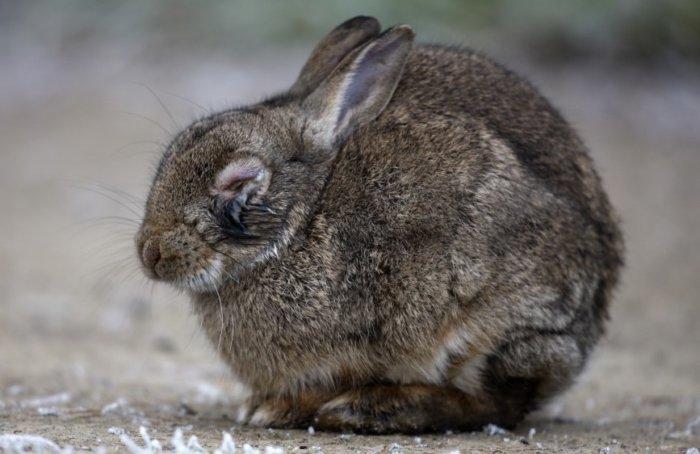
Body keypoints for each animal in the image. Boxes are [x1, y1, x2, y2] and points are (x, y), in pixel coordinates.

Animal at [135, 15, 624, 434]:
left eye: (238, 183)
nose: (150, 253)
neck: (303, 217)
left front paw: (274, 409)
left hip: (494, 322)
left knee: (495, 404)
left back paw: (373, 409)